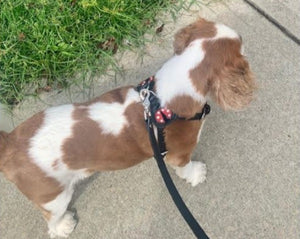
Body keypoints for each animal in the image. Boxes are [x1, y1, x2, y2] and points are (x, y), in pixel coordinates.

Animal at [0, 19, 255, 238]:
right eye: (241, 47)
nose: (245, 39)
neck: (161, 100)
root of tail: (10, 143)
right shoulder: (178, 154)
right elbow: (186, 167)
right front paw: (196, 174)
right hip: (53, 196)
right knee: (51, 218)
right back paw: (63, 226)